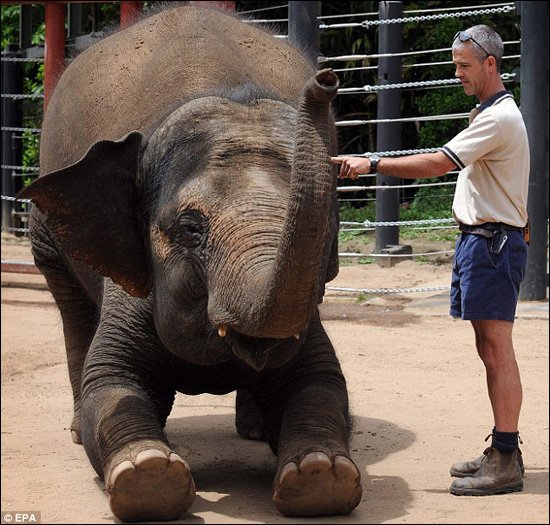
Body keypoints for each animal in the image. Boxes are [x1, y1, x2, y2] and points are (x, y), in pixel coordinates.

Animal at [20, 3, 366, 520]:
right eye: (190, 228)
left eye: (327, 224)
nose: (327, 80)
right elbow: (113, 380)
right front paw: (147, 474)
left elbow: (320, 382)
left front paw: (321, 474)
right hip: (46, 231)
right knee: (71, 306)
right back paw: (79, 429)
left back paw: (256, 432)